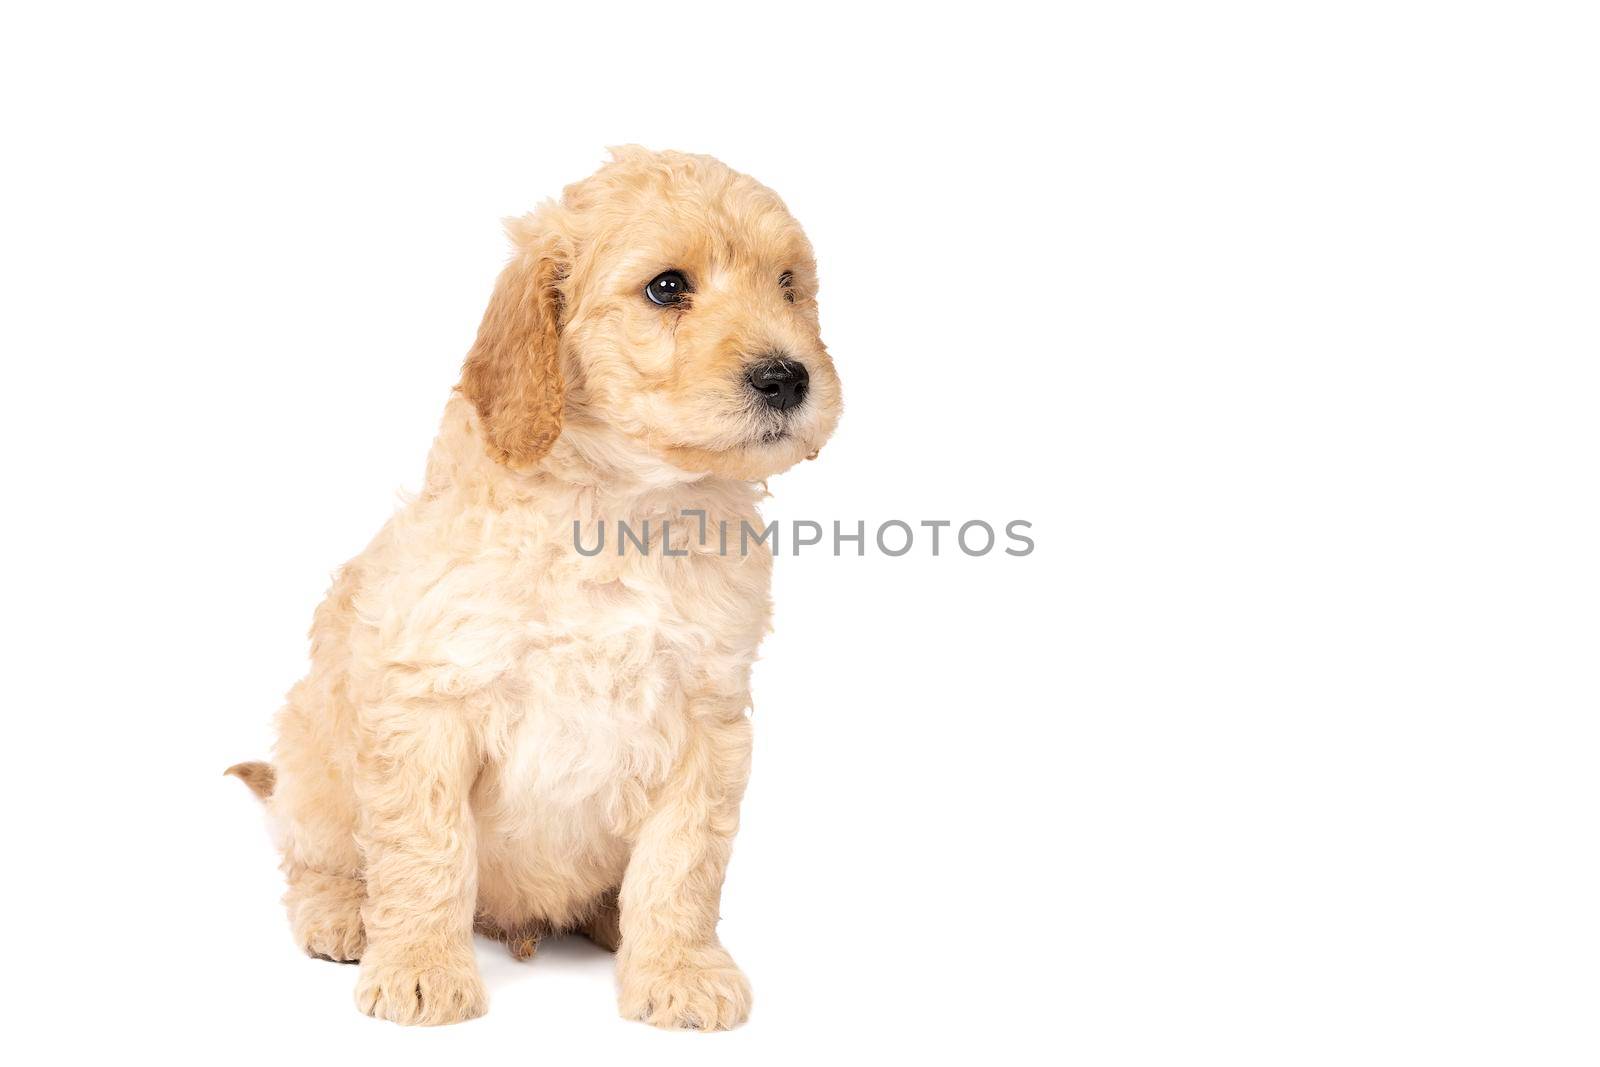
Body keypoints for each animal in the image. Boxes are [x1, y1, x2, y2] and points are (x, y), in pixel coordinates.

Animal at [233, 147, 851, 1023]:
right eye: (667, 286)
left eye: (789, 284)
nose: (787, 378)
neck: (622, 510)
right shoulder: (431, 702)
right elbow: (426, 850)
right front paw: (421, 965)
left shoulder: (707, 717)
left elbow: (683, 862)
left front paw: (679, 967)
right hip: (313, 762)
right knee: (315, 854)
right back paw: (344, 913)